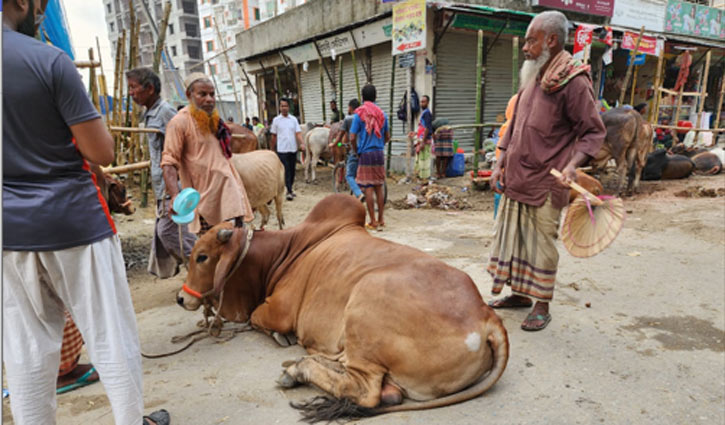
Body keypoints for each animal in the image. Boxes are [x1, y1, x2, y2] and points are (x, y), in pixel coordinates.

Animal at [176, 194, 506, 420]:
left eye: (202, 256)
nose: (181, 298)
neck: (280, 254)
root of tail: (486, 315)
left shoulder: (278, 311)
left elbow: (258, 319)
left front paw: (282, 337)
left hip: (365, 302)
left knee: (366, 390)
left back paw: (299, 369)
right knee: (380, 389)